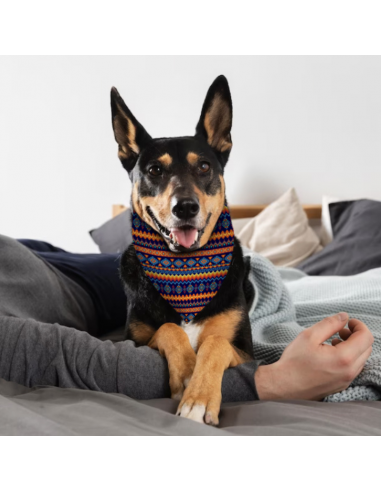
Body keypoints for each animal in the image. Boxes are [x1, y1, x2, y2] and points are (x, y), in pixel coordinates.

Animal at [111, 75, 254, 424]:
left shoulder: (249, 354)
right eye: (154, 170)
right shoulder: (133, 342)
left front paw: (198, 399)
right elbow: (168, 329)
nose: (185, 207)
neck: (186, 268)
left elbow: (215, 342)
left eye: (203, 166)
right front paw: (188, 370)